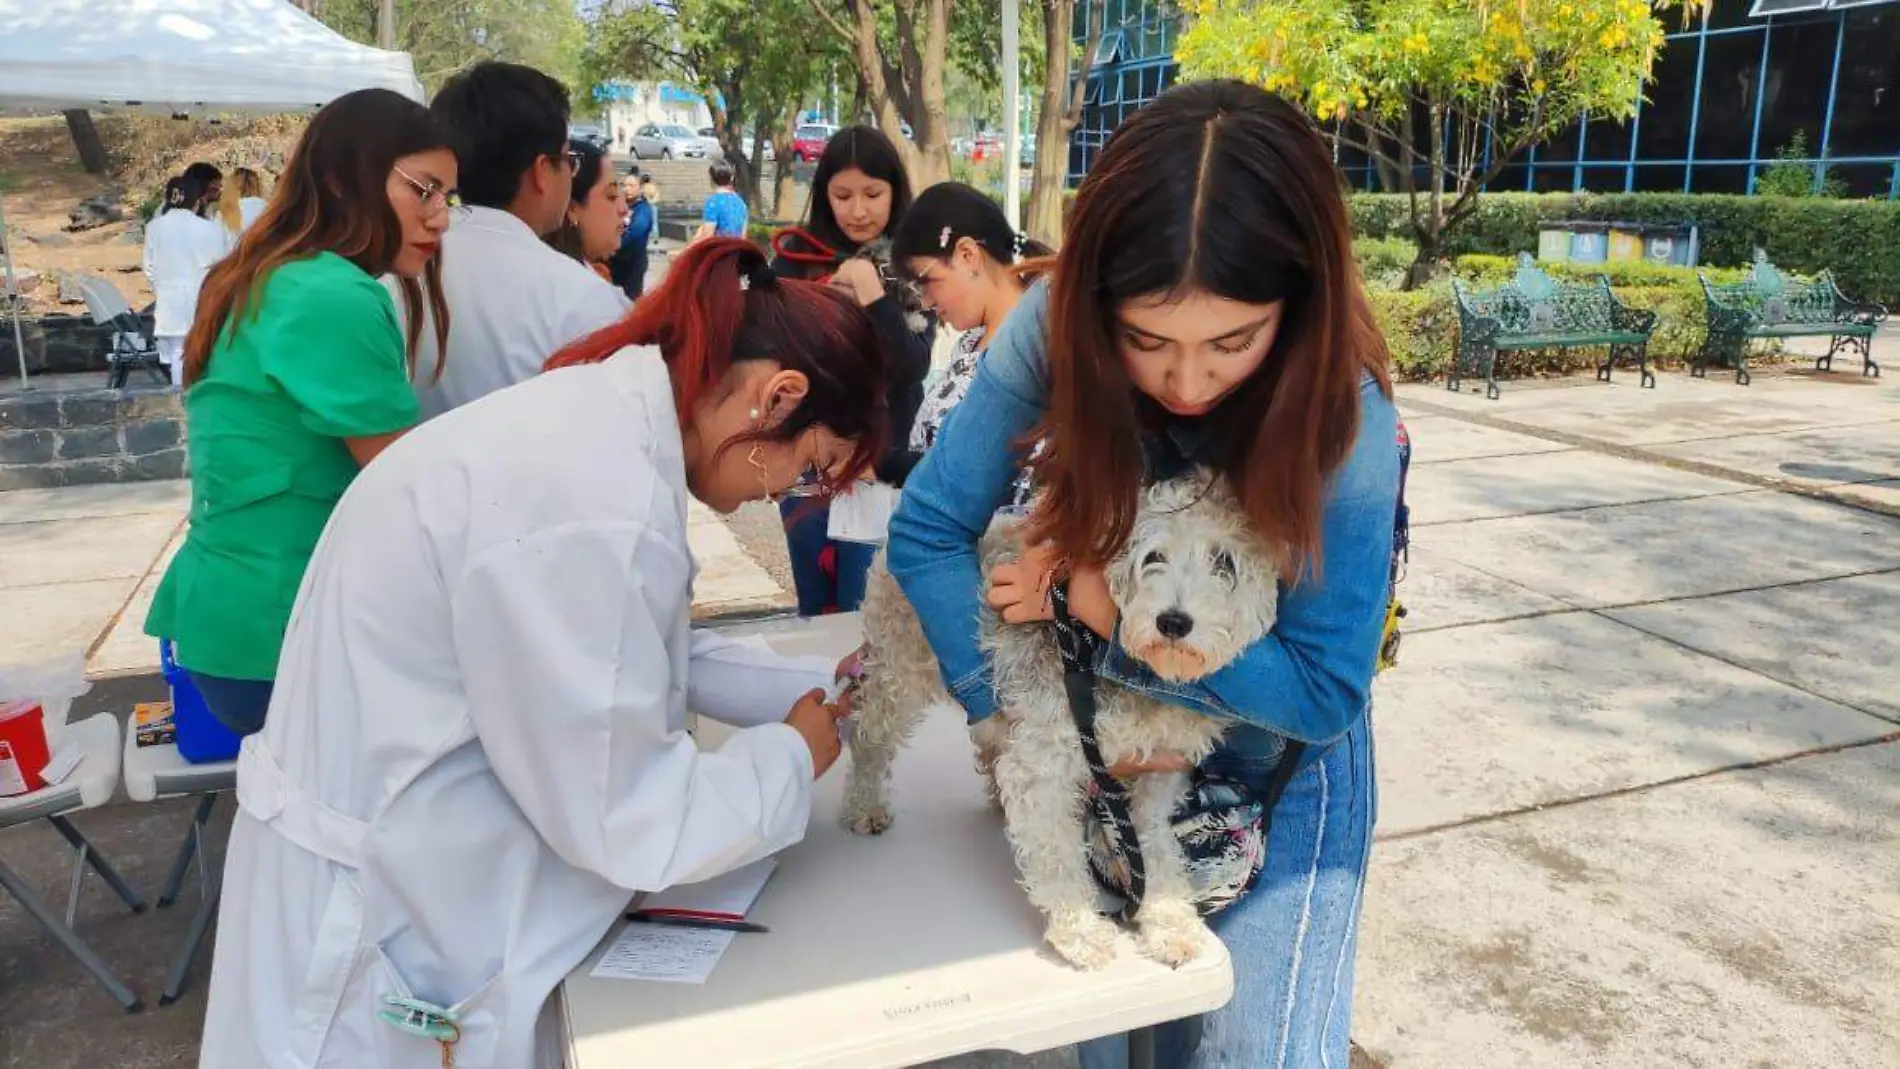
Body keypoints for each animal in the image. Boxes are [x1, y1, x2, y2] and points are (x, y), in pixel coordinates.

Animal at [843, 472, 1276, 972]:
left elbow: (1157, 848)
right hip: (899, 670)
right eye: (1153, 557)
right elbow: (1056, 855)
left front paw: (1169, 922)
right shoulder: (1044, 764)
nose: (1173, 621)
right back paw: (864, 805)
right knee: (868, 736)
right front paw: (1081, 932)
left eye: (1225, 562)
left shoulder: (1158, 773)